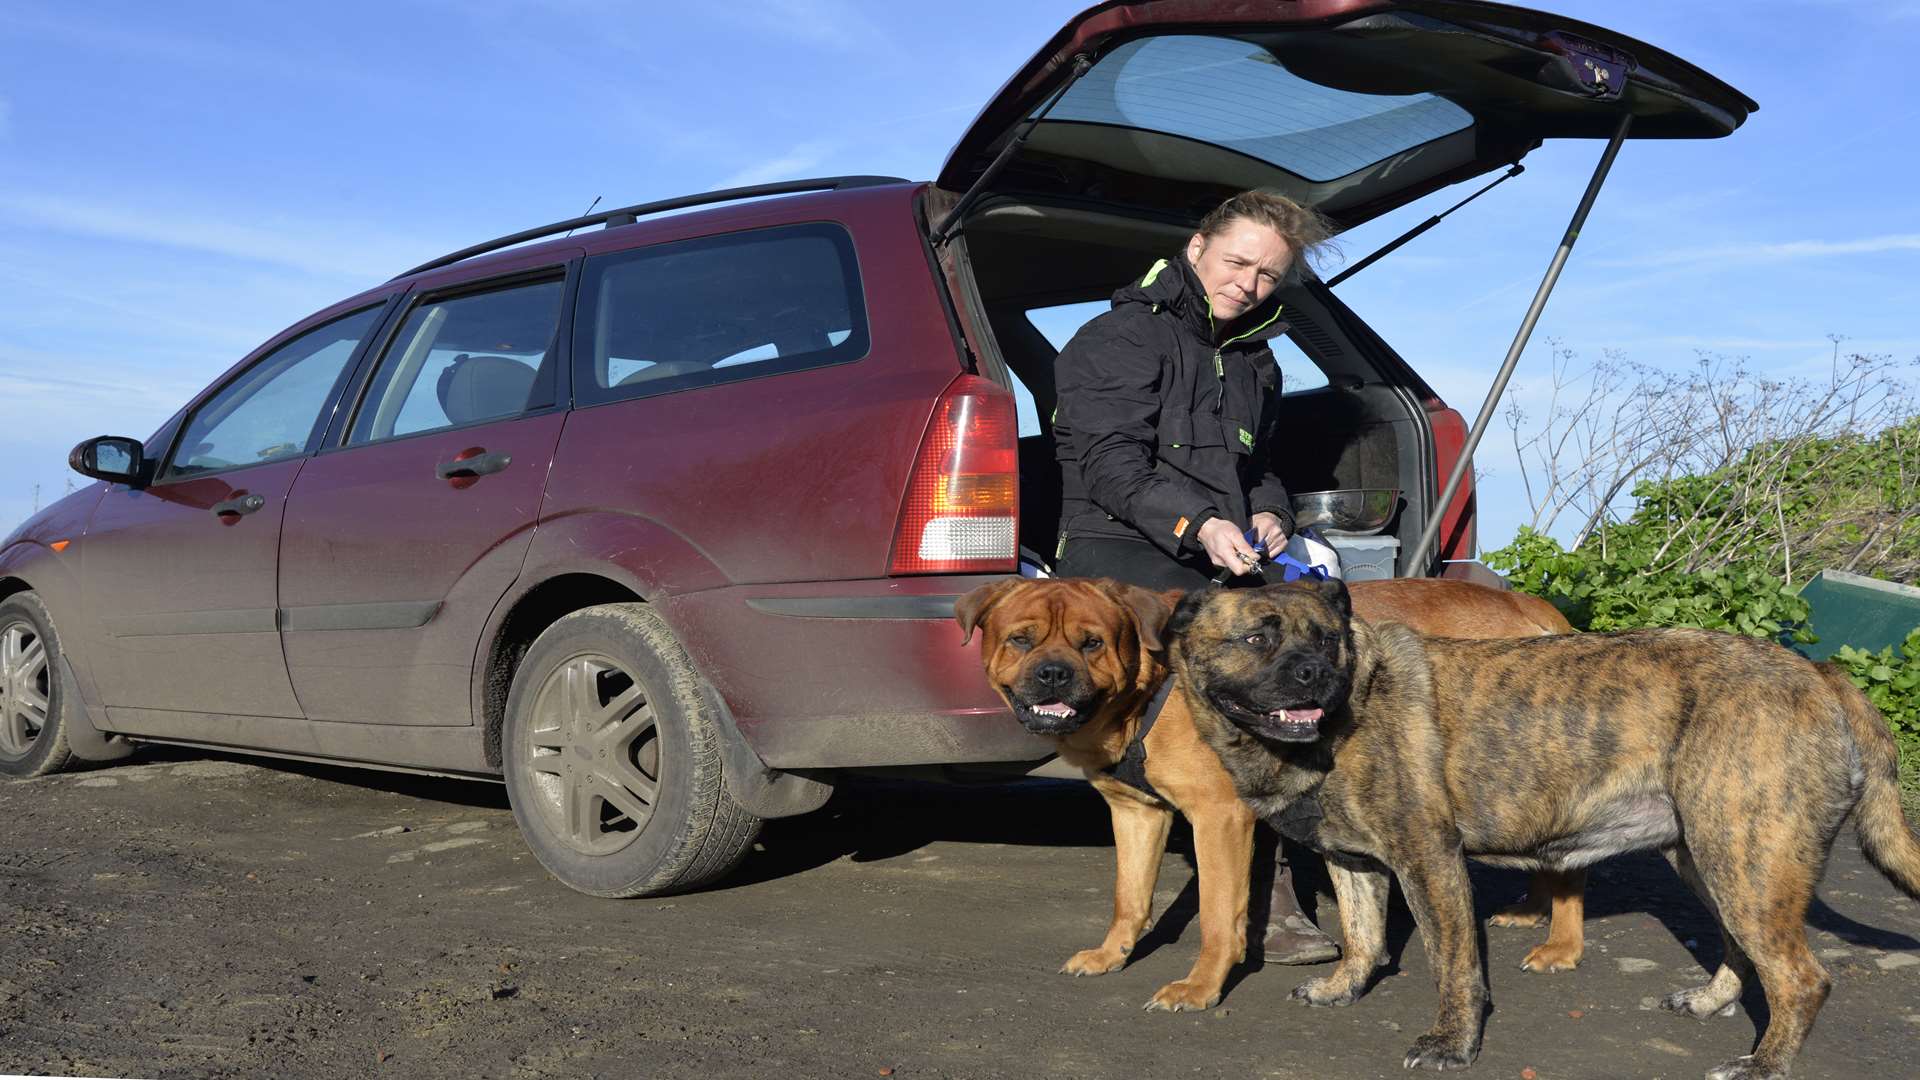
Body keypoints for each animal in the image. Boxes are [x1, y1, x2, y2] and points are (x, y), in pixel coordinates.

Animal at [956, 572, 1574, 1006]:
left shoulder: (1220, 817)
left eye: (1092, 644)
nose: (1054, 674)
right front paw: (1114, 954)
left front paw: (1201, 987)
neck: (1148, 689)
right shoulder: (1136, 813)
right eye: (1019, 641)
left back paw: (1561, 946)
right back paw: (1533, 911)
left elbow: (1217, 914)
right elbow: (1128, 898)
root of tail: (1527, 604)